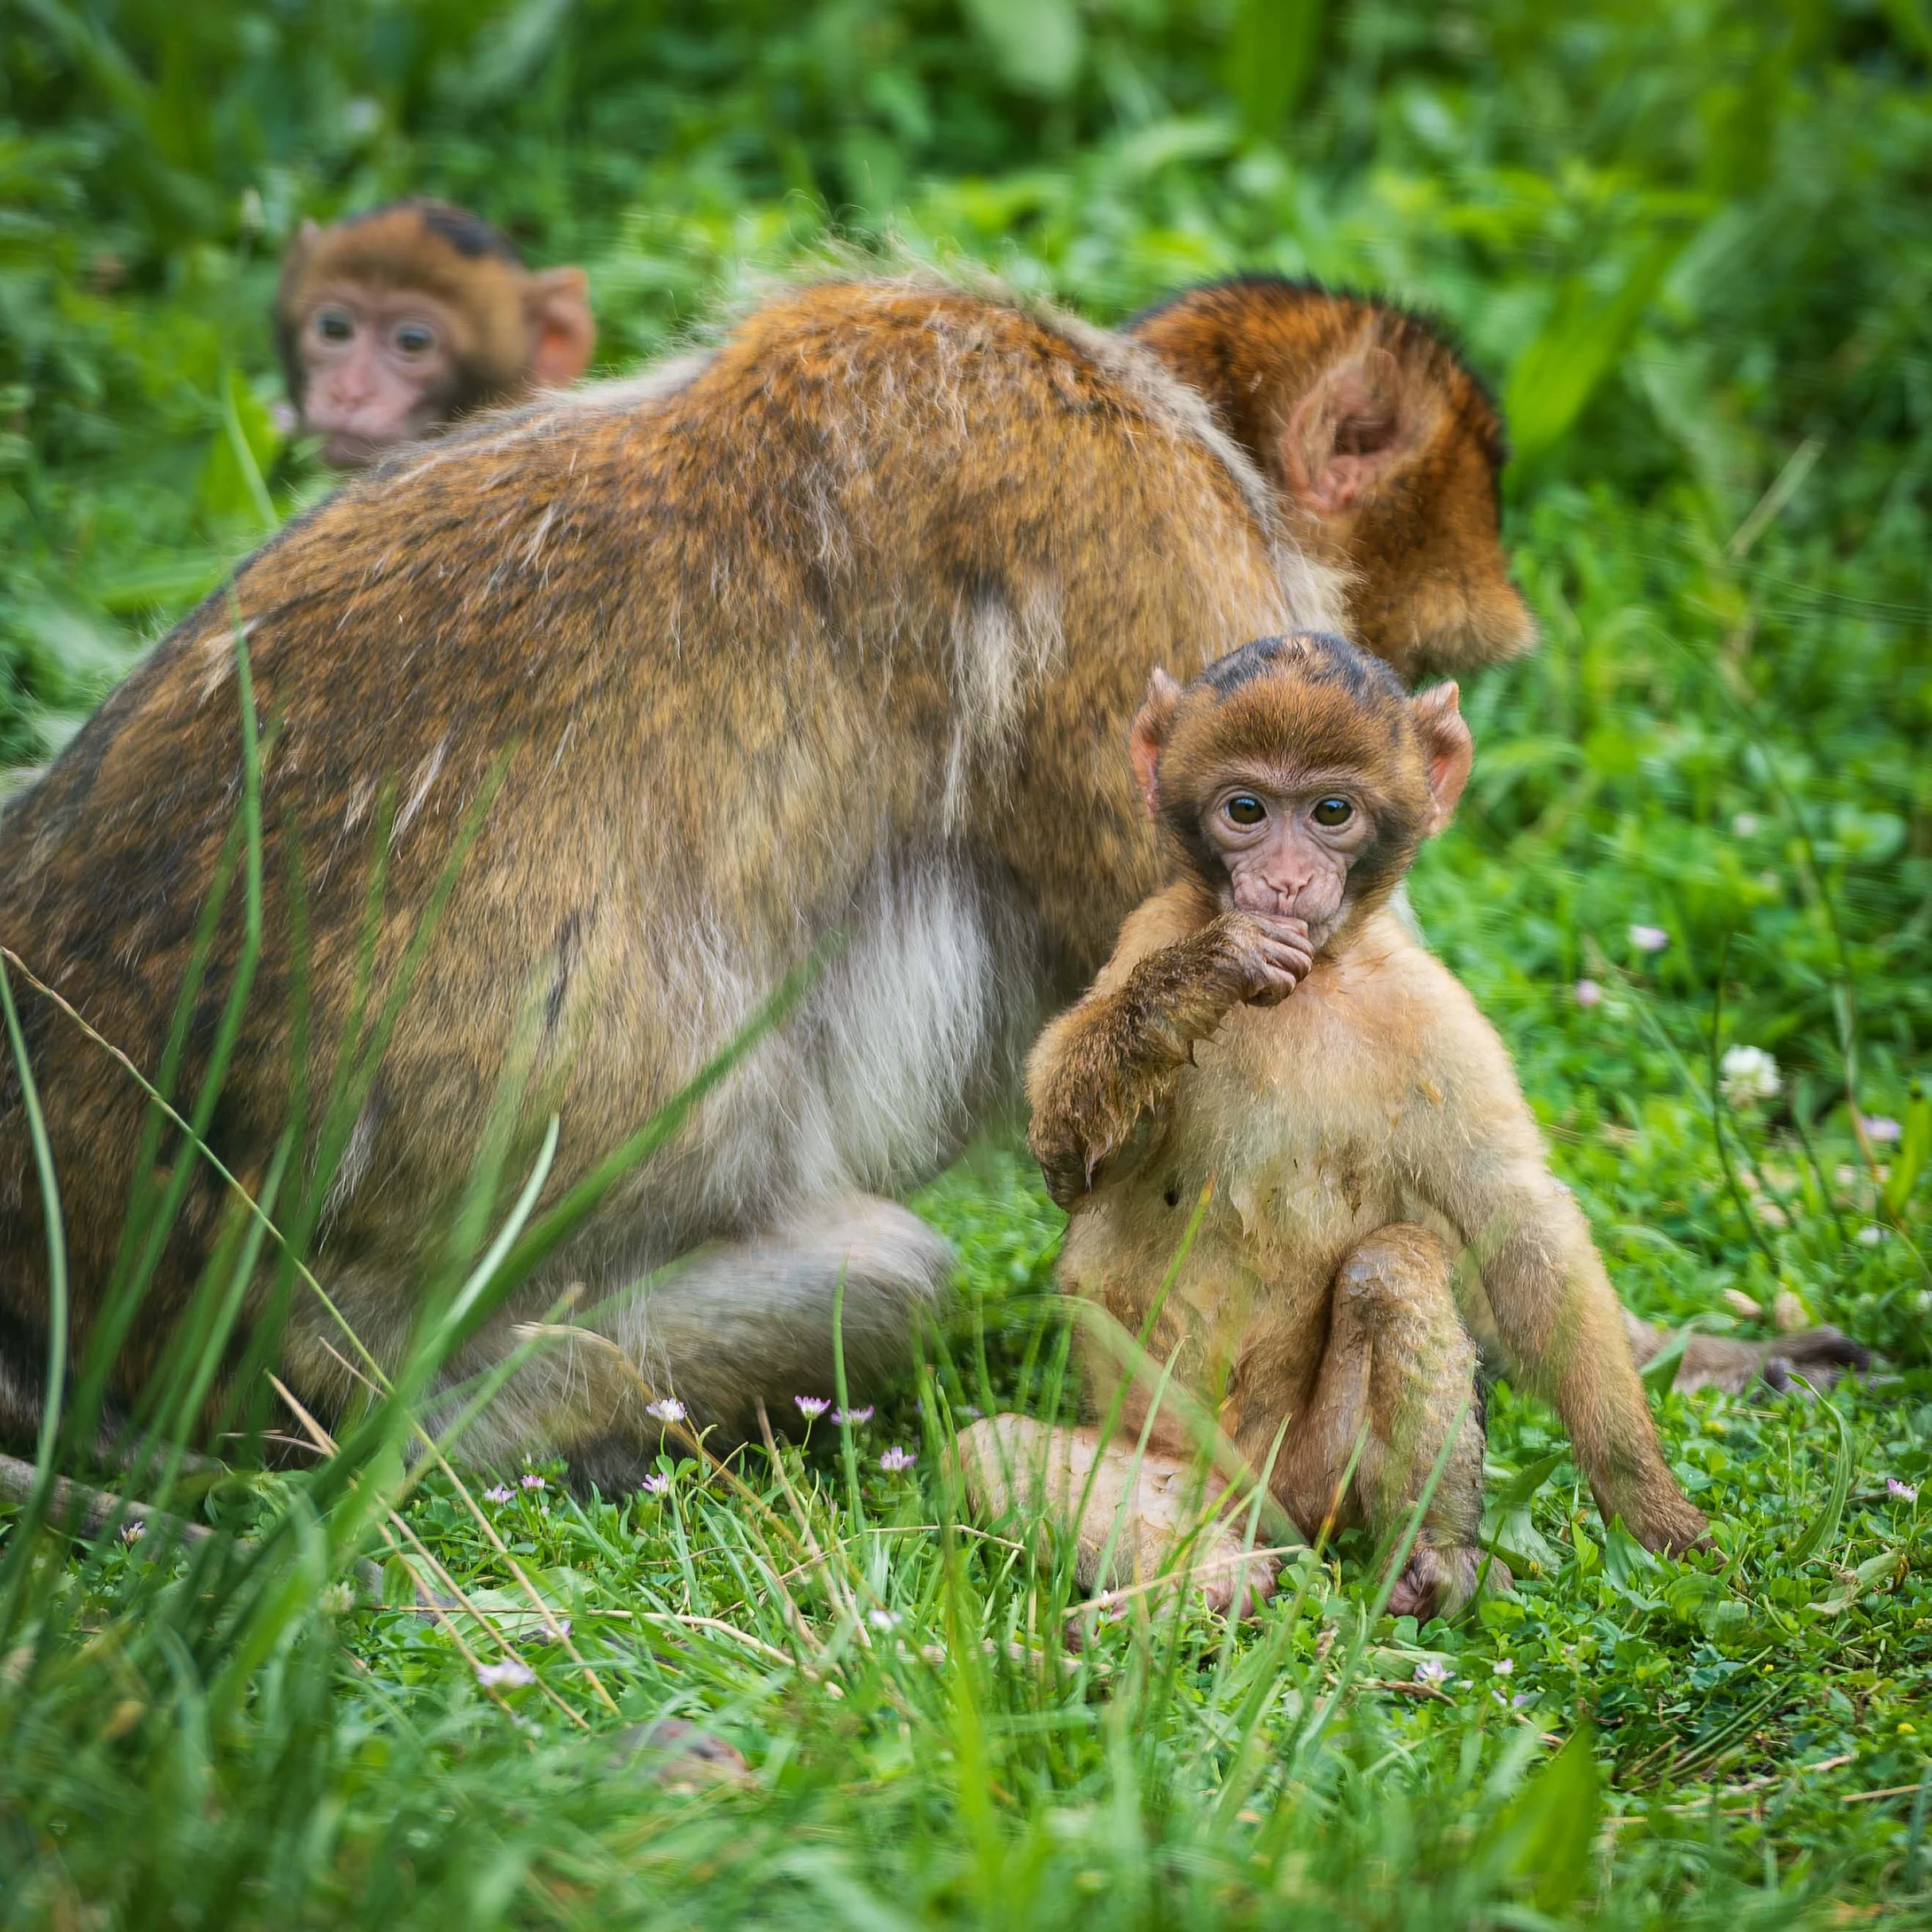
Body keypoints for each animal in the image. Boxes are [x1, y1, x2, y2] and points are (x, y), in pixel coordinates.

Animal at [0, 271, 1852, 1487]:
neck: (1154, 403)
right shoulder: (1150, 566)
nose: (1403, 744)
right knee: (879, 1274)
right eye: (1371, 692)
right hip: (349, 1363)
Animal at [979, 633, 1712, 1621]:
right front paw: (1208, 972)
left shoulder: (1432, 1012)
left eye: (1331, 811)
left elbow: (1518, 1222)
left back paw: (1432, 1560)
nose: (1286, 880)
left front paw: (1646, 1501)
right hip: (1175, 1470)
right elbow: (1067, 1162)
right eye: (1246, 809)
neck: (1310, 982)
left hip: (1323, 1480)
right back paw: (1211, 1580)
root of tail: (1262, 1499)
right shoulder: (1149, 928)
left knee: (1394, 1265)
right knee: (980, 1446)